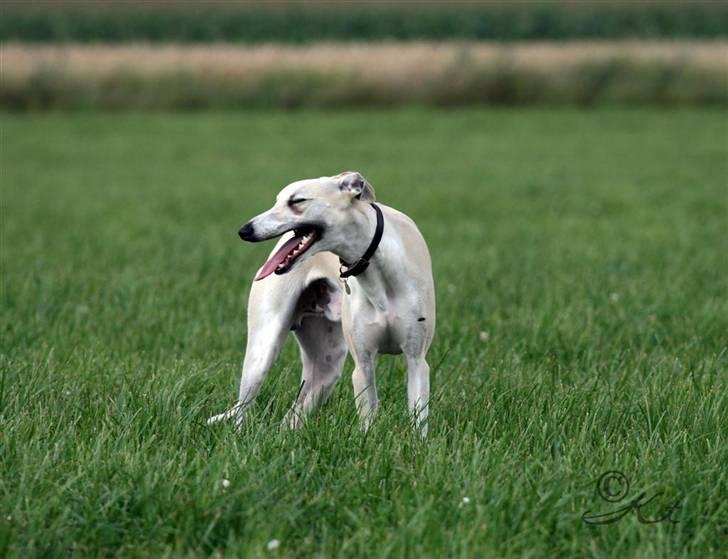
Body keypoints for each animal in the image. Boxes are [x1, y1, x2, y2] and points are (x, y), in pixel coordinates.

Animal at [208, 173, 436, 436]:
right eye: (277, 201)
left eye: (297, 200)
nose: (245, 230)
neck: (378, 263)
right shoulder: (363, 364)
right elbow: (367, 418)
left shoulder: (416, 359)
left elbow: (418, 420)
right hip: (262, 351)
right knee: (243, 409)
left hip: (326, 369)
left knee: (291, 416)